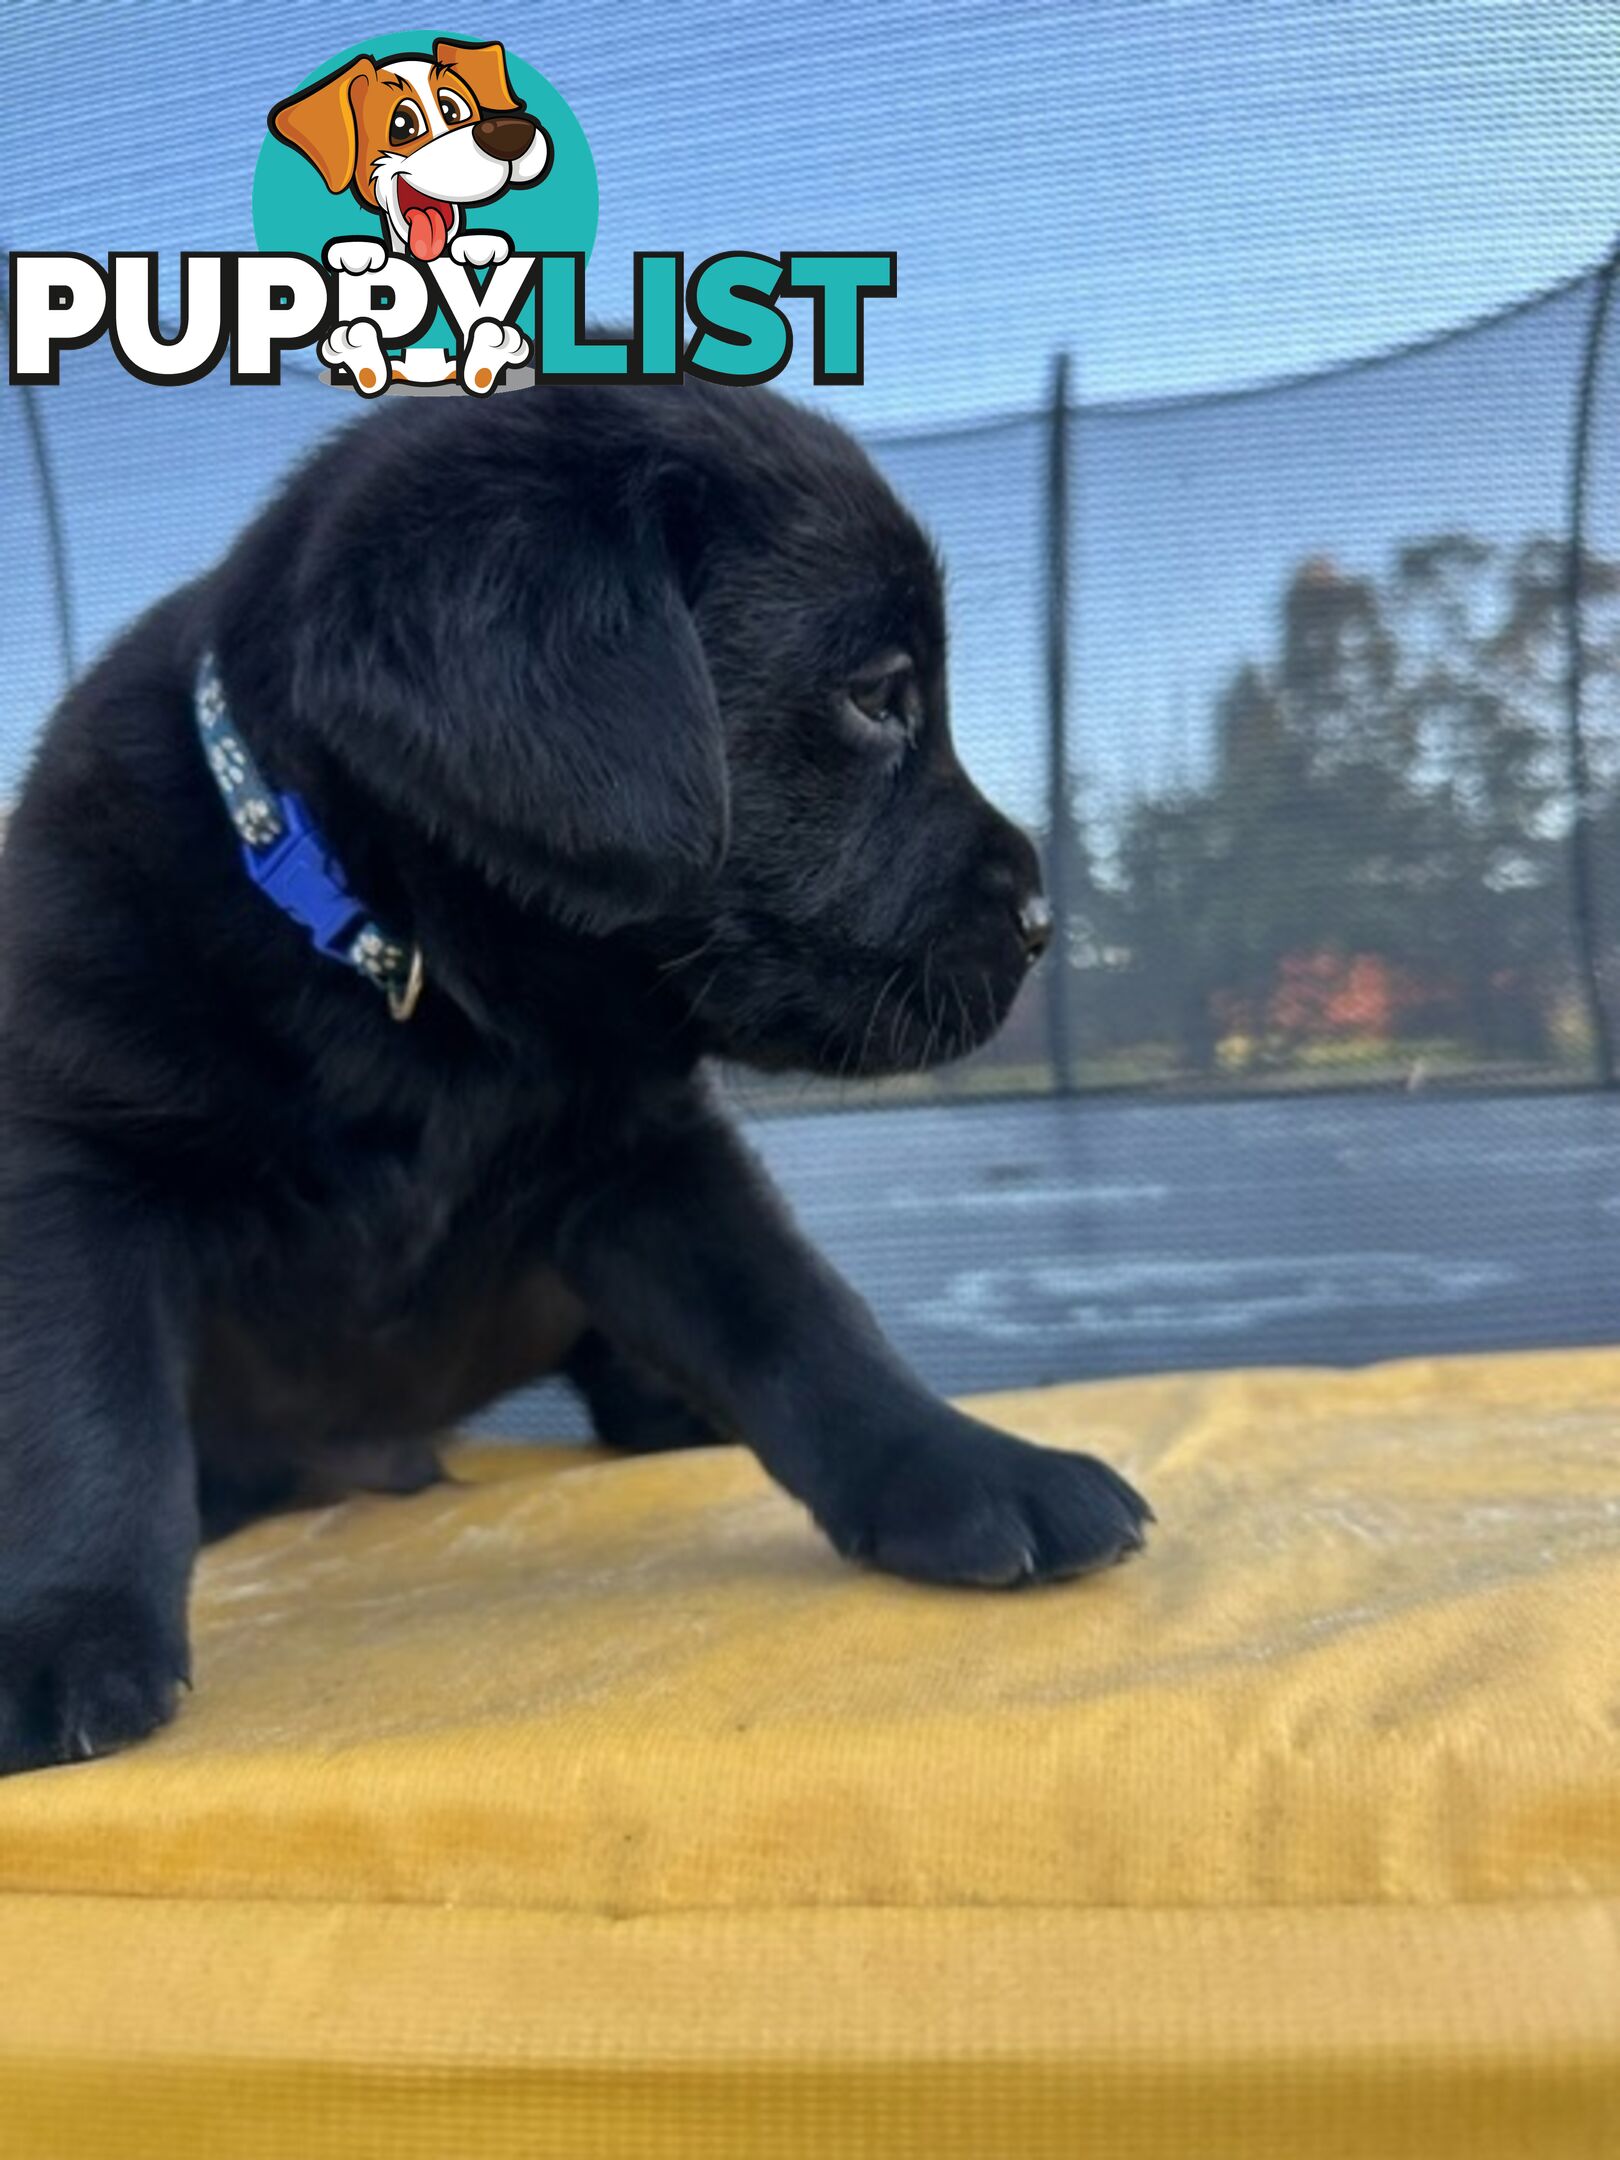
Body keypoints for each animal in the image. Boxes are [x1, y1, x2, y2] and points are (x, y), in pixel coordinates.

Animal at [0, 380, 1157, 1779]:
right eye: (880, 695)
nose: (1043, 923)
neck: (401, 970)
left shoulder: (646, 1154)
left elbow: (805, 1320)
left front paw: (968, 1471)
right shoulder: (76, 1163)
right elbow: (84, 1416)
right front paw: (64, 1627)